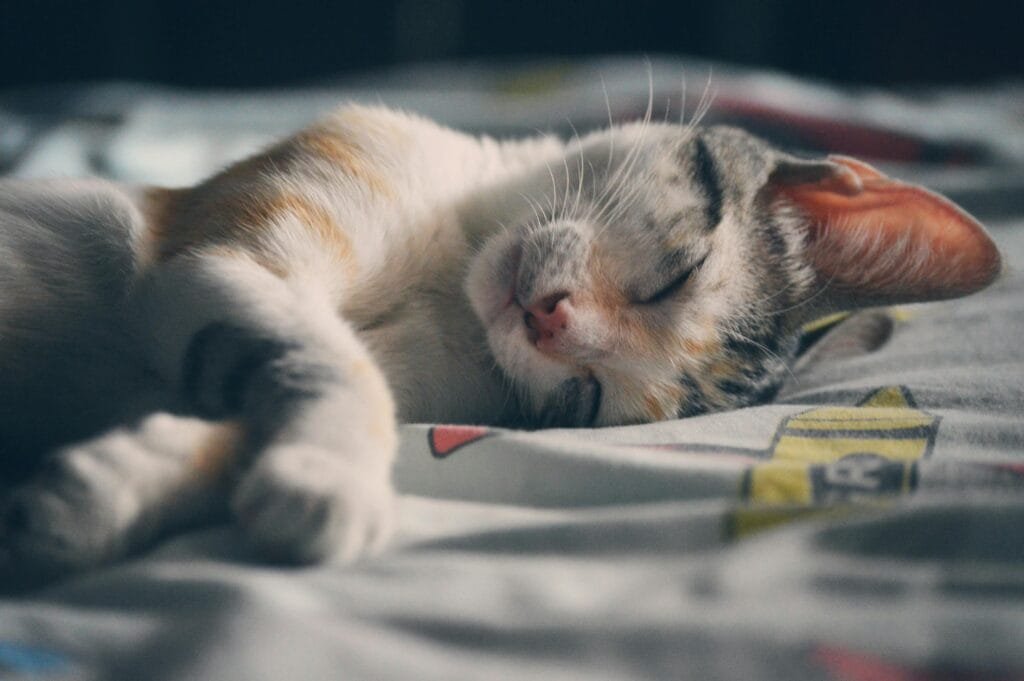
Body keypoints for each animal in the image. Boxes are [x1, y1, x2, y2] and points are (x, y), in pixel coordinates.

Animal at [0, 103, 999, 581]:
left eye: (586, 396)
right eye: (677, 274)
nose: (550, 320)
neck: (453, 273)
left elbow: (257, 401)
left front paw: (101, 492)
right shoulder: (218, 254)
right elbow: (337, 364)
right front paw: (330, 479)